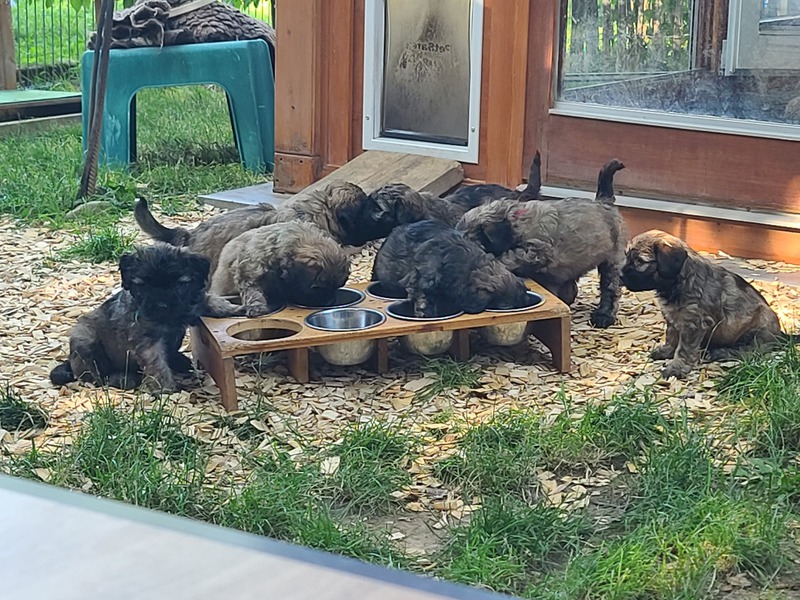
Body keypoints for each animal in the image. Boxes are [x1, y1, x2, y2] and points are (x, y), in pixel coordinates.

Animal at [49, 244, 241, 393]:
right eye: (144, 285)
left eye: (179, 283)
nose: (161, 305)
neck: (169, 318)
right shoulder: (148, 342)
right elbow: (157, 363)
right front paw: (165, 388)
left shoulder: (192, 301)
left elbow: (211, 300)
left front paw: (236, 309)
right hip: (85, 340)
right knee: (97, 376)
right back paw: (122, 378)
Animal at [210, 221, 350, 316]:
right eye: (317, 288)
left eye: (337, 287)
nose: (330, 302)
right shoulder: (250, 271)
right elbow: (252, 291)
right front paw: (257, 307)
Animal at [455, 159, 626, 328]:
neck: (516, 221)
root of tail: (604, 201)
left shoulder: (538, 250)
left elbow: (510, 256)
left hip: (612, 261)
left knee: (610, 290)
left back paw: (603, 316)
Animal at [620, 230, 788, 379]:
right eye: (626, 256)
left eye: (640, 261)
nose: (620, 275)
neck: (680, 281)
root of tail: (780, 335)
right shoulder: (673, 319)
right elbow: (671, 337)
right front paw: (666, 351)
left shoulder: (694, 324)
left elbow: (684, 348)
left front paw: (676, 367)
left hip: (758, 326)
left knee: (750, 350)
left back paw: (721, 352)